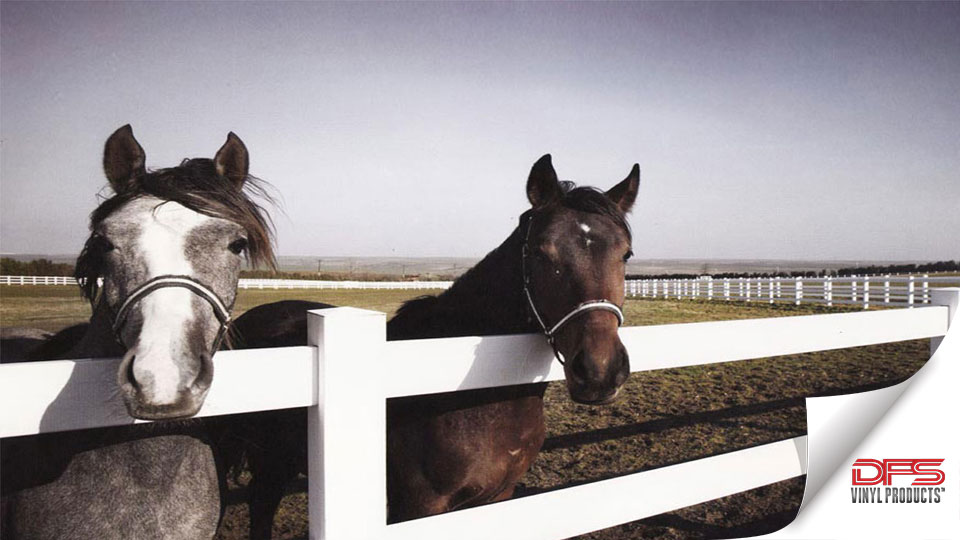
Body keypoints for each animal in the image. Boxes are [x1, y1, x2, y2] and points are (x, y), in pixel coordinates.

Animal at [231, 154, 636, 532]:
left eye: (626, 253)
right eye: (541, 251)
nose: (599, 370)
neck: (480, 397)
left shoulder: (497, 498)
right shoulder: (419, 507)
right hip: (268, 465)